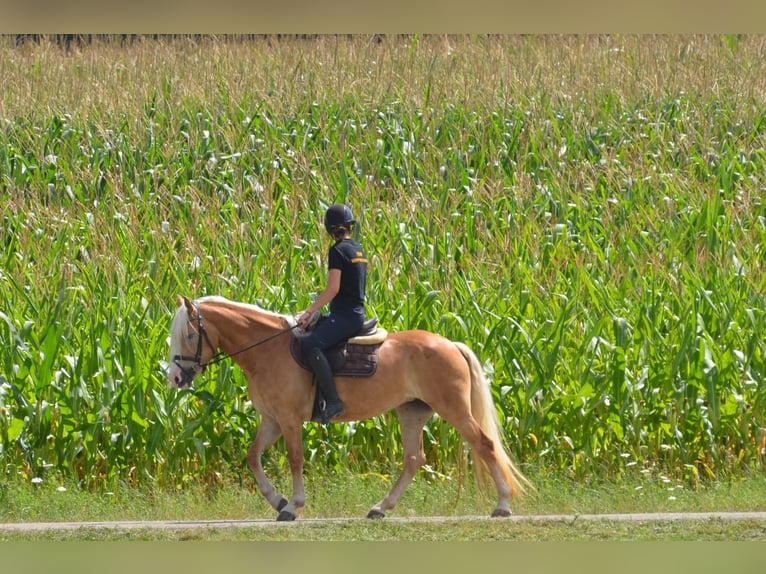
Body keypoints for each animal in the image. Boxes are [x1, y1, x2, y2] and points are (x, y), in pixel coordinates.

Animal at [167, 296, 532, 520]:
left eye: (189, 335)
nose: (175, 377)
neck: (268, 350)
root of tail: (450, 344)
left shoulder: (288, 419)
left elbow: (295, 459)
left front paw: (293, 506)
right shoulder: (271, 420)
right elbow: (253, 456)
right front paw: (277, 500)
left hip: (453, 408)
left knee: (483, 444)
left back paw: (502, 504)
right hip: (411, 411)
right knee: (414, 459)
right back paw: (381, 507)